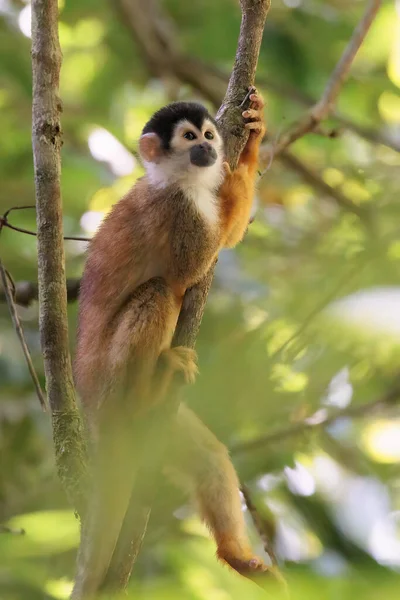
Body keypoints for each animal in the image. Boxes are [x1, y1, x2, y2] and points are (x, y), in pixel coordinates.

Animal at [72, 88, 266, 596]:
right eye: (189, 138)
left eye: (210, 135)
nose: (211, 151)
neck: (180, 180)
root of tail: (95, 417)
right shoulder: (176, 208)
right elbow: (194, 263)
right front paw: (235, 178)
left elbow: (226, 241)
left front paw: (252, 138)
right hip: (111, 387)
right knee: (158, 291)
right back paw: (149, 386)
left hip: (163, 431)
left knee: (208, 459)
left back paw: (236, 556)